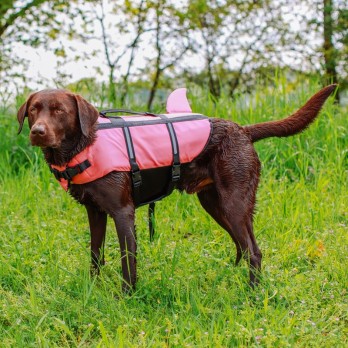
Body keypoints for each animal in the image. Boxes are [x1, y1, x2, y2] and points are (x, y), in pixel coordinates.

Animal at [17, 85, 338, 292]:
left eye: (59, 111)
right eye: (33, 110)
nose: (37, 132)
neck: (85, 145)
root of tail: (243, 130)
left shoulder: (123, 212)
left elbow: (127, 260)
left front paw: (126, 297)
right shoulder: (95, 212)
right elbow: (96, 255)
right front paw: (92, 290)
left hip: (233, 203)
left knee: (254, 251)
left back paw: (252, 294)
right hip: (215, 204)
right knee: (242, 245)